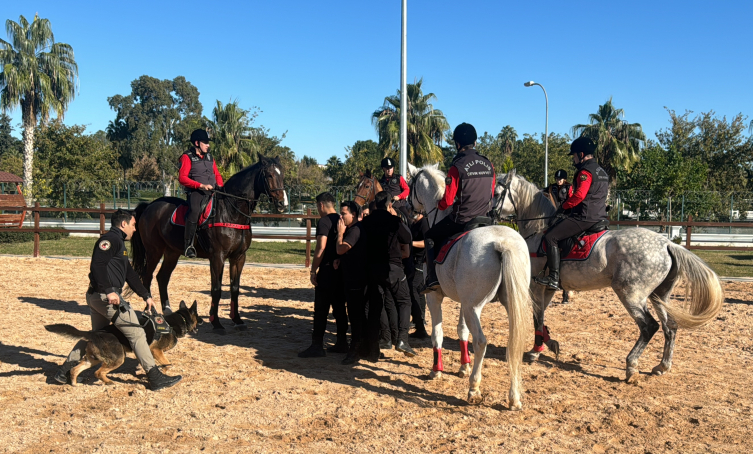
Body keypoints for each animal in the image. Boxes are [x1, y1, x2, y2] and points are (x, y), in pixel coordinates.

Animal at [44, 300, 203, 384]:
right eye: (198, 315)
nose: (202, 321)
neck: (178, 321)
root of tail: (94, 333)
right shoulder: (156, 351)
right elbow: (167, 364)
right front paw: (164, 374)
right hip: (118, 358)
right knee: (98, 373)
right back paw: (108, 382)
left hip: (93, 359)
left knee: (76, 369)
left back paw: (74, 383)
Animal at [131, 154, 286, 332]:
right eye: (269, 175)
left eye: (282, 174)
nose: (282, 203)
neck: (230, 212)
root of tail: (150, 205)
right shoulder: (217, 257)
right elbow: (216, 289)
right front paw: (216, 322)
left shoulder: (239, 257)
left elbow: (234, 288)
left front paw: (237, 319)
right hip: (154, 252)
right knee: (147, 277)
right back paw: (151, 311)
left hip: (172, 253)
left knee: (162, 277)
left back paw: (167, 310)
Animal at [406, 164, 536, 412]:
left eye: (410, 184)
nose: (408, 208)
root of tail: (501, 243)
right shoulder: (462, 301)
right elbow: (461, 331)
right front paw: (463, 366)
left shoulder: (435, 297)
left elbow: (438, 333)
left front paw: (436, 370)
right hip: (500, 303)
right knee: (513, 344)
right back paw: (514, 397)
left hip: (473, 307)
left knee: (481, 341)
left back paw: (474, 388)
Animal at [494, 168, 724, 382]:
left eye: (497, 193)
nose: (490, 213)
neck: (540, 229)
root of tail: (667, 244)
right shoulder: (548, 287)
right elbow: (541, 316)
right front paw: (548, 344)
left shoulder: (536, 285)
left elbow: (537, 317)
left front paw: (536, 351)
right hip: (659, 295)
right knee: (671, 326)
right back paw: (662, 366)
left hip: (630, 294)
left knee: (649, 326)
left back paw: (631, 366)